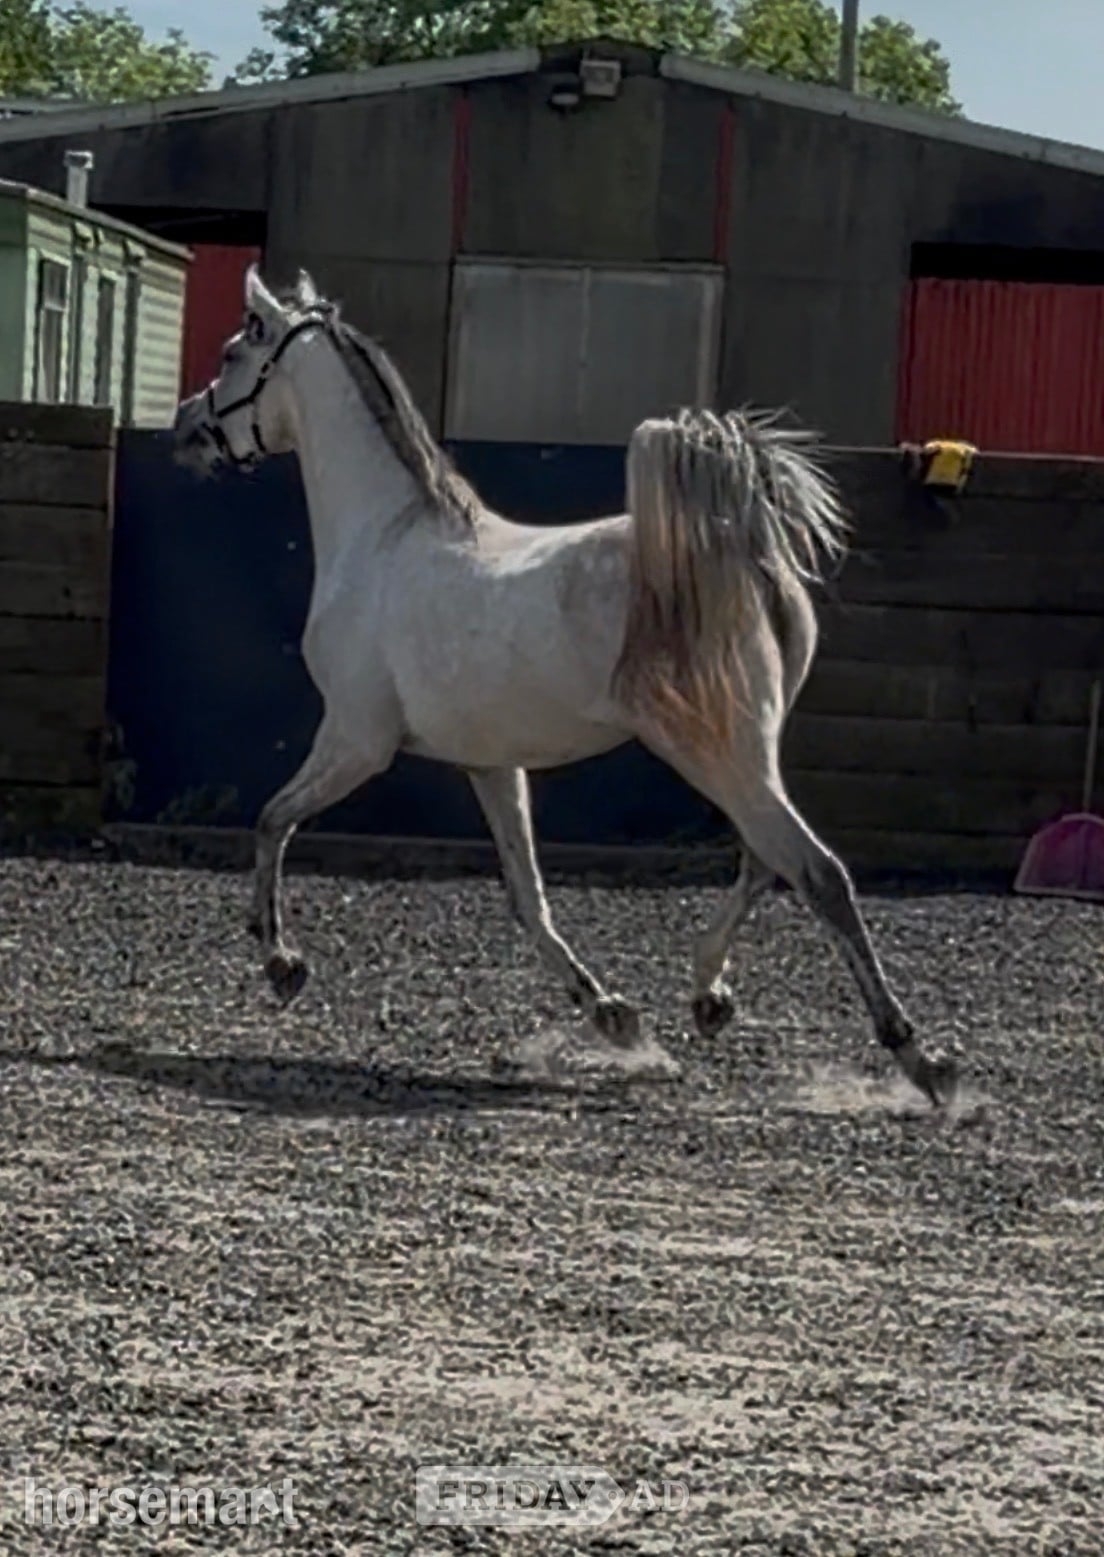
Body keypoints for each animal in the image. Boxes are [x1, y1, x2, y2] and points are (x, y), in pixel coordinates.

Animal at [171, 265, 956, 1108]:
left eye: (231, 353)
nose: (185, 427)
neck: (384, 540)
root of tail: (740, 550)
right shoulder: (489, 763)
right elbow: (528, 896)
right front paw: (612, 1015)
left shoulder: (355, 740)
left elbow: (271, 820)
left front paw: (281, 962)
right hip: (752, 750)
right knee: (763, 860)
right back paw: (708, 997)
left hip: (717, 753)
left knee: (816, 871)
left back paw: (920, 1058)